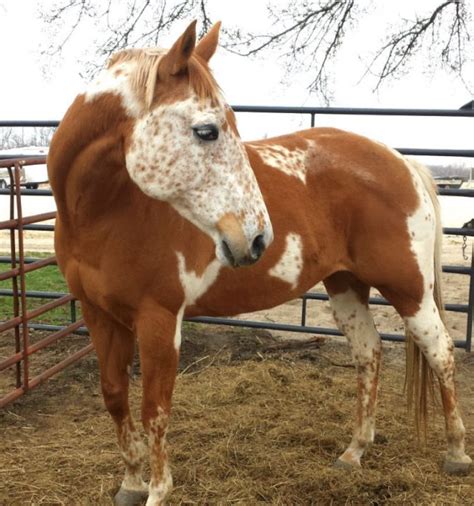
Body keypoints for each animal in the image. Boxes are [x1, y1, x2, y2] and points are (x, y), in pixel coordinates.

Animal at [47, 19, 470, 506]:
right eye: (207, 131)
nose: (257, 239)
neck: (106, 210)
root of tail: (403, 162)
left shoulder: (159, 319)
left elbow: (155, 409)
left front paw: (155, 490)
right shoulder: (99, 314)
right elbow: (115, 396)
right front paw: (131, 484)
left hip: (409, 290)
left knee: (440, 351)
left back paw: (456, 453)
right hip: (345, 285)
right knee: (369, 352)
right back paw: (354, 452)